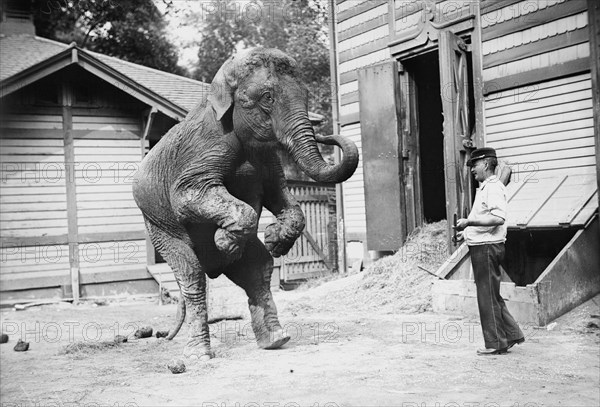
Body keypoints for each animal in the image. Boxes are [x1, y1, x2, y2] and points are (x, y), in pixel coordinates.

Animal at [134, 47, 358, 360]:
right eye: (267, 97)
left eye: (306, 95)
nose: (327, 133)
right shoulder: (200, 151)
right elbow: (187, 195)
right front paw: (224, 241)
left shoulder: (268, 161)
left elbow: (280, 195)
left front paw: (273, 240)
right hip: (159, 227)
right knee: (192, 276)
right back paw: (199, 355)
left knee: (258, 269)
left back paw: (276, 339)